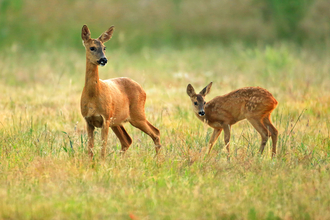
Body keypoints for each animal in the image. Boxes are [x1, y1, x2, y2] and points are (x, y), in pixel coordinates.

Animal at [81, 24, 161, 157]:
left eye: (104, 47)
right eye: (92, 48)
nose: (104, 60)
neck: (93, 95)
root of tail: (143, 90)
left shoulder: (106, 118)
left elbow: (103, 147)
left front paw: (102, 162)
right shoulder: (88, 120)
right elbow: (90, 148)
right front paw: (91, 162)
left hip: (137, 114)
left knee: (156, 132)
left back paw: (157, 159)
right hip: (117, 121)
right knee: (127, 140)